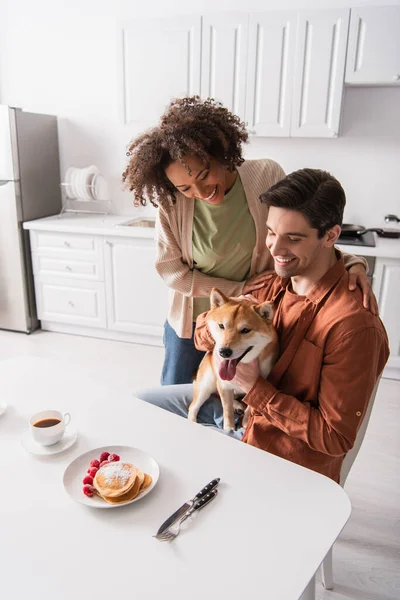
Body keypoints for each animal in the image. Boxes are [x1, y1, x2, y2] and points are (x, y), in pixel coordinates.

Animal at [190, 288, 278, 428]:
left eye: (245, 330)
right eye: (221, 326)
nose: (223, 352)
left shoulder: (259, 383)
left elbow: (252, 404)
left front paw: (246, 420)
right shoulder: (224, 386)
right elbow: (227, 412)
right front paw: (229, 428)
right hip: (206, 385)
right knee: (193, 407)